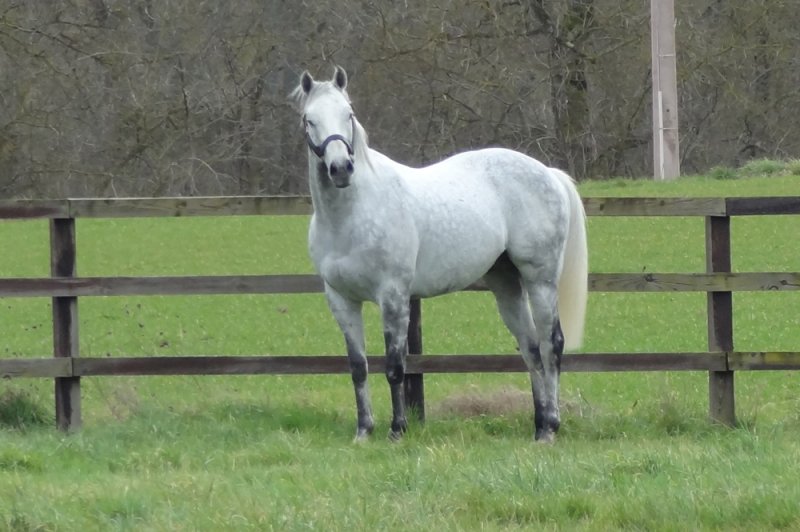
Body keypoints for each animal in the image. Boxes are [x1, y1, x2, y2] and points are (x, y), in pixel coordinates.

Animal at [291, 66, 588, 443]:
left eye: (349, 114)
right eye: (309, 119)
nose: (341, 168)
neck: (351, 215)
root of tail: (548, 173)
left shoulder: (393, 296)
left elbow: (395, 366)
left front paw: (397, 430)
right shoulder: (341, 300)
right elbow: (358, 367)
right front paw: (363, 432)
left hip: (541, 279)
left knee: (552, 345)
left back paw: (551, 427)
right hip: (507, 285)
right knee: (531, 349)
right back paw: (538, 425)